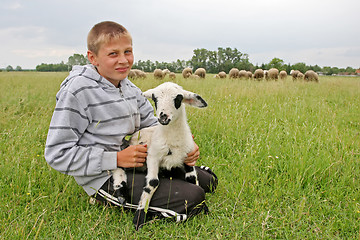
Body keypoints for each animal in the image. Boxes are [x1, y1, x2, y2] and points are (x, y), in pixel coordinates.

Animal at [112, 81, 208, 230]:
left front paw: (203, 207)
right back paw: (120, 191)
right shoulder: (152, 156)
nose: (163, 117)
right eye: (154, 99)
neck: (172, 140)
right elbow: (152, 183)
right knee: (118, 165)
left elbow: (193, 179)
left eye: (178, 98)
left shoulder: (188, 157)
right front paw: (139, 216)